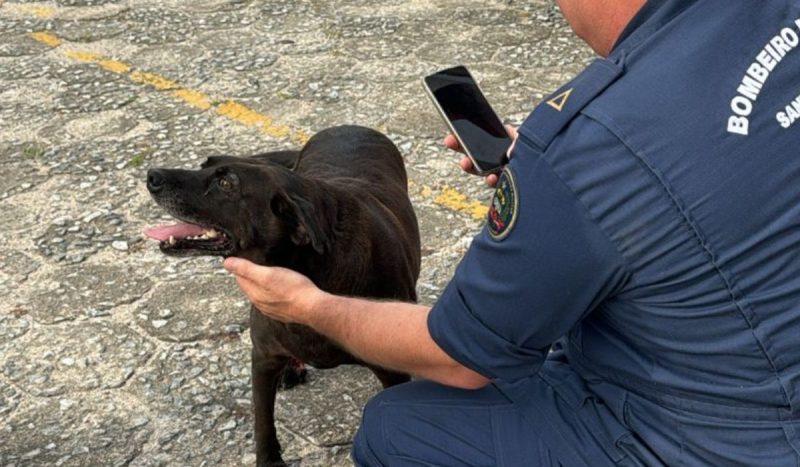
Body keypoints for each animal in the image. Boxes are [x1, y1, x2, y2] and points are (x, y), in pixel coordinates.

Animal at [145, 126, 422, 466]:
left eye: (226, 183)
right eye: (203, 165)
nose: (152, 175)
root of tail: (349, 126)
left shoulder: (393, 373)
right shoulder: (263, 358)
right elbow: (263, 422)